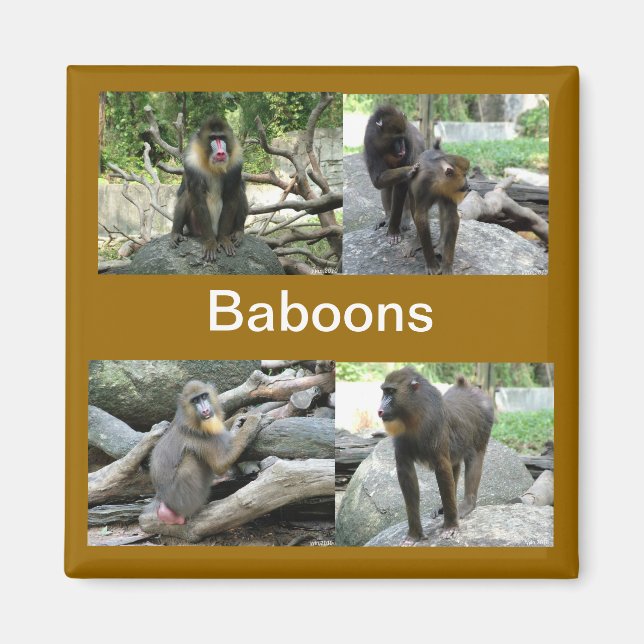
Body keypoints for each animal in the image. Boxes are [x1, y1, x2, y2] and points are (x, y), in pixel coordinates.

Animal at [149, 380, 261, 525]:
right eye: (195, 400)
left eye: (203, 396)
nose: (205, 410)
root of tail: (162, 500)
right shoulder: (199, 437)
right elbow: (220, 464)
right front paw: (253, 421)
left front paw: (239, 419)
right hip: (181, 498)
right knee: (190, 457)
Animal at [171, 116, 248, 262]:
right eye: (213, 138)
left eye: (222, 138)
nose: (221, 152)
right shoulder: (192, 162)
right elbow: (198, 200)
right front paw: (210, 243)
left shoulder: (236, 162)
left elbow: (231, 198)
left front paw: (223, 239)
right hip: (195, 226)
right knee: (187, 194)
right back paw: (176, 233)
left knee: (239, 191)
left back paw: (238, 232)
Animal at [363, 106, 425, 243]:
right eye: (396, 139)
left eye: (402, 138)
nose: (402, 150)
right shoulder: (370, 143)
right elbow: (378, 179)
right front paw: (408, 170)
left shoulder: (408, 140)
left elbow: (402, 186)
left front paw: (393, 231)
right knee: (387, 185)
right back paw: (387, 216)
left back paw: (406, 217)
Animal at [377, 368, 494, 545]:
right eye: (384, 392)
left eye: (391, 392)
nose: (381, 410)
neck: (415, 415)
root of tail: (467, 388)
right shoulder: (403, 449)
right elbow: (406, 475)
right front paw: (414, 535)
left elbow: (443, 468)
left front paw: (450, 527)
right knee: (455, 465)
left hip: (482, 429)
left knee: (475, 459)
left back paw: (466, 505)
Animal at [405, 141, 470, 275]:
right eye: (464, 175)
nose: (468, 185)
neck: (438, 181)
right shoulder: (423, 187)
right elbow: (421, 218)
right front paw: (431, 264)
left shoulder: (448, 193)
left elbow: (452, 218)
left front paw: (447, 266)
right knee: (414, 206)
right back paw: (417, 241)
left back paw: (440, 246)